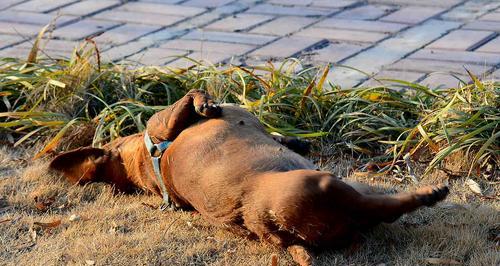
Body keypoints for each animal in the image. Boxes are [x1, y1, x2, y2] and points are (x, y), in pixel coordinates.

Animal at [49, 90, 450, 266]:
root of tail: (267, 228)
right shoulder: (162, 124)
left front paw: (292, 140)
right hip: (324, 186)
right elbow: (190, 96)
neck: (147, 163)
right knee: (381, 208)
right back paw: (429, 193)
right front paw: (204, 104)